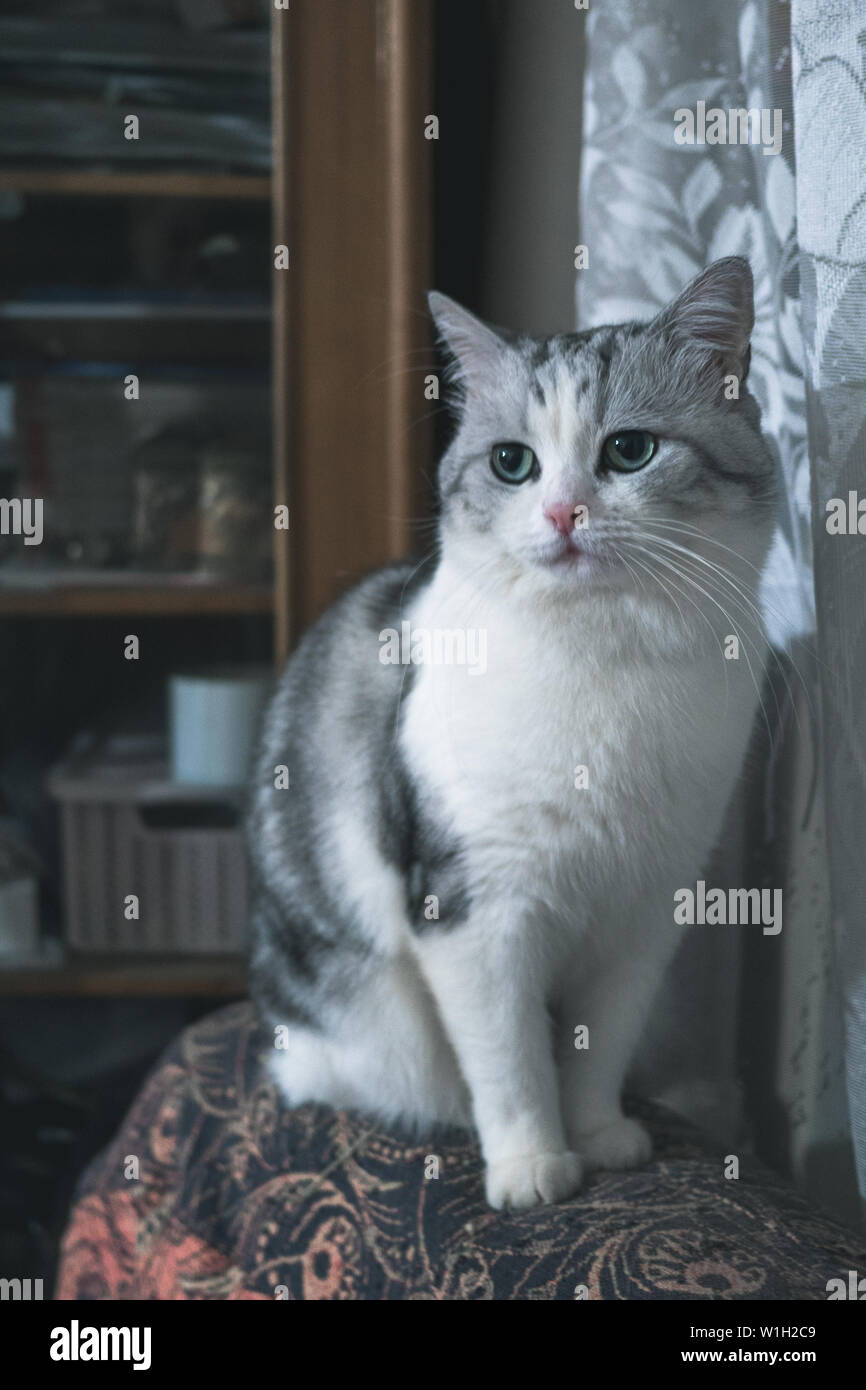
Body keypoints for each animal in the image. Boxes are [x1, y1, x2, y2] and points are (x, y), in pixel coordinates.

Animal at [248, 255, 778, 1212]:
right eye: (512, 463)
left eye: (630, 450)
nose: (563, 514)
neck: (601, 655)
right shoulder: (473, 906)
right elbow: (510, 1056)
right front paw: (532, 1165)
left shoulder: (647, 906)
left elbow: (600, 1040)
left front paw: (598, 1136)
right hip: (367, 1019)